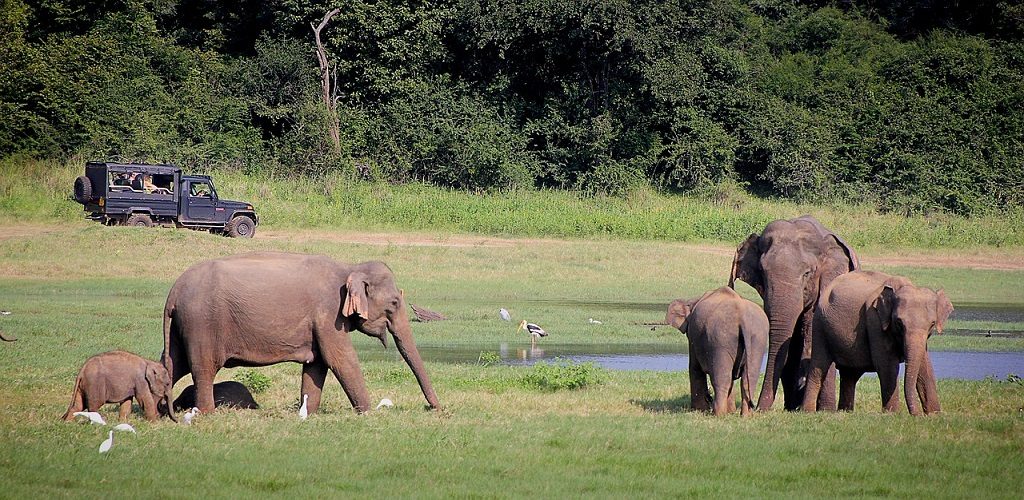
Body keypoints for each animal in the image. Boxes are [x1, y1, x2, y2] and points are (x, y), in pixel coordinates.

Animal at [162, 254, 440, 413]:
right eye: (394, 302)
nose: (434, 408)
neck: (349, 268)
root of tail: (173, 291)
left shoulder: (320, 323)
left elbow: (317, 364)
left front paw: (309, 413)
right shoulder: (328, 314)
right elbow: (340, 359)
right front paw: (368, 413)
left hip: (182, 327)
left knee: (173, 364)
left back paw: (161, 412)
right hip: (202, 324)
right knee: (203, 368)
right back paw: (206, 414)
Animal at [667, 286, 765, 415]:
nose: (709, 397)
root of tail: (743, 318)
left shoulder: (693, 336)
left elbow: (694, 367)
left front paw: (699, 410)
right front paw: (731, 411)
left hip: (720, 339)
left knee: (721, 378)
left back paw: (718, 414)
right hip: (757, 339)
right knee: (748, 378)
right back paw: (745, 415)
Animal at [798, 270, 950, 415]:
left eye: (932, 324)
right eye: (899, 322)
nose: (916, 414)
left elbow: (925, 366)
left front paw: (934, 414)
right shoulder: (875, 321)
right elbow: (886, 364)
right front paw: (892, 414)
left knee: (850, 374)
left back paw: (845, 411)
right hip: (820, 325)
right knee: (819, 367)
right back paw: (808, 411)